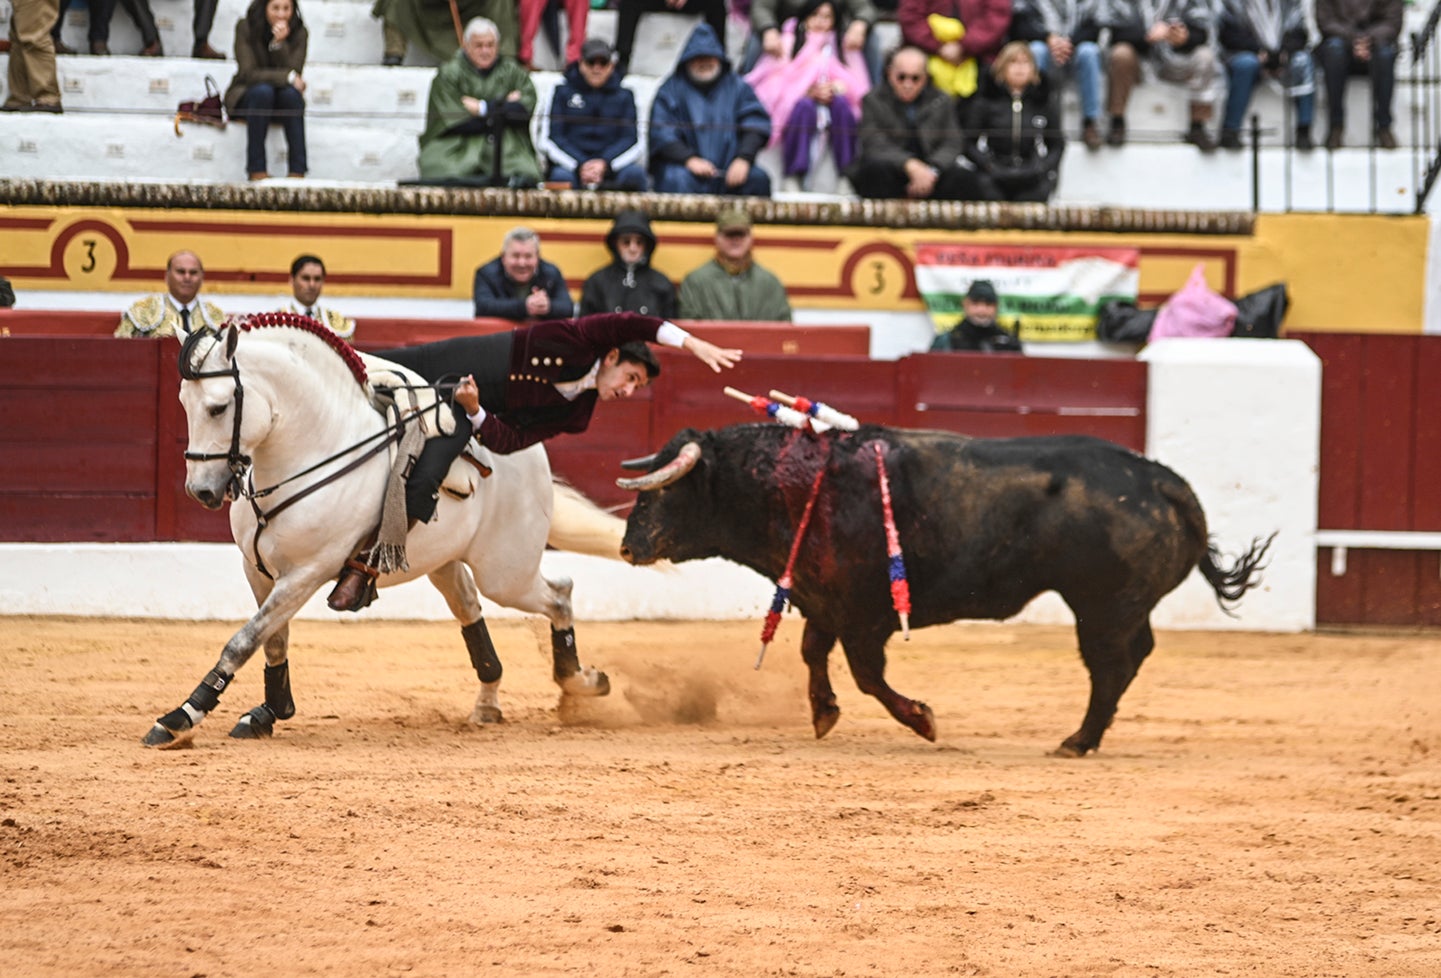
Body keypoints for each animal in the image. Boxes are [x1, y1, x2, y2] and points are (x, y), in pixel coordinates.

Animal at [140, 313, 625, 748]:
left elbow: (242, 641)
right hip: (447, 563)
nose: (201, 490)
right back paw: (488, 703)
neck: (313, 450)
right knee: (471, 607)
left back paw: (581, 681)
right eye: (183, 403)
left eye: (218, 407)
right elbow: (272, 639)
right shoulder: (257, 569)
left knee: (559, 593)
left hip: (506, 571)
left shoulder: (307, 573)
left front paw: (180, 717)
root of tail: (528, 453)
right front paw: (268, 712)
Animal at [619, 423, 1273, 754]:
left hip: (1101, 607)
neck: (788, 482)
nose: (628, 547)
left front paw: (922, 720)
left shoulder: (863, 616)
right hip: (1115, 608)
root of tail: (1163, 482)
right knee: (1131, 658)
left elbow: (867, 675)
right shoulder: (823, 600)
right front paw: (824, 714)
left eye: (664, 492)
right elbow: (812, 654)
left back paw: (1077, 741)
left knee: (1111, 665)